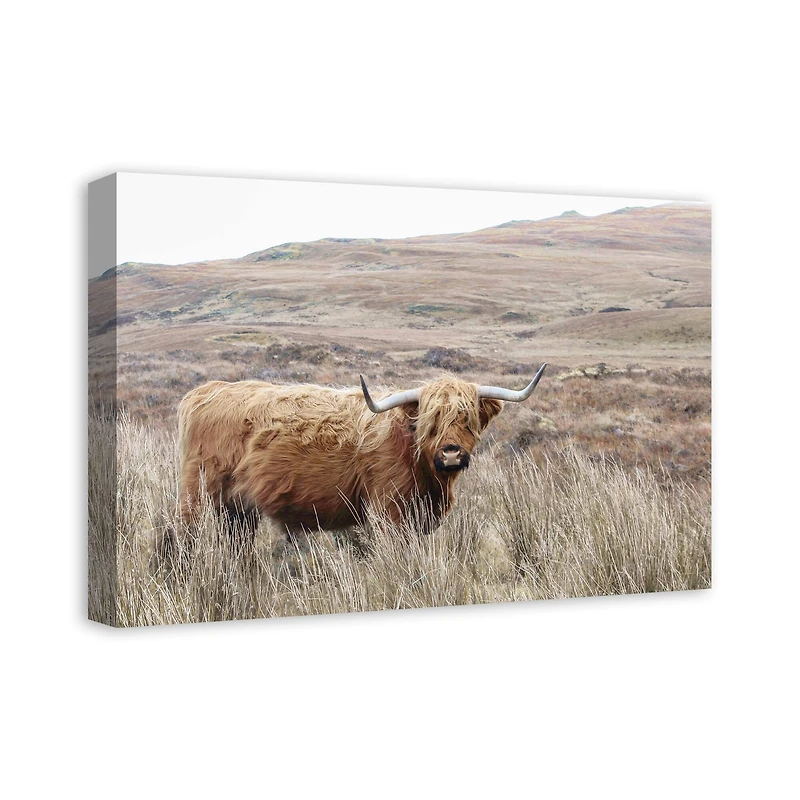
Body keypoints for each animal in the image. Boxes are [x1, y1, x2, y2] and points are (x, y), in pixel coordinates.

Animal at [177, 365, 546, 543]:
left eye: (467, 419)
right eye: (431, 421)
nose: (451, 454)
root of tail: (207, 391)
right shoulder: (389, 512)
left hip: (238, 508)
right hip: (197, 495)